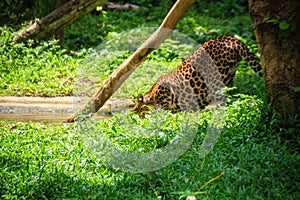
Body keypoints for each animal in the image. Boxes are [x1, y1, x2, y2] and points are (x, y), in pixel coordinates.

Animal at [133, 36, 262, 117]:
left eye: (139, 111)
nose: (141, 120)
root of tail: (231, 38)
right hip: (230, 76)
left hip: (216, 78)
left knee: (219, 100)